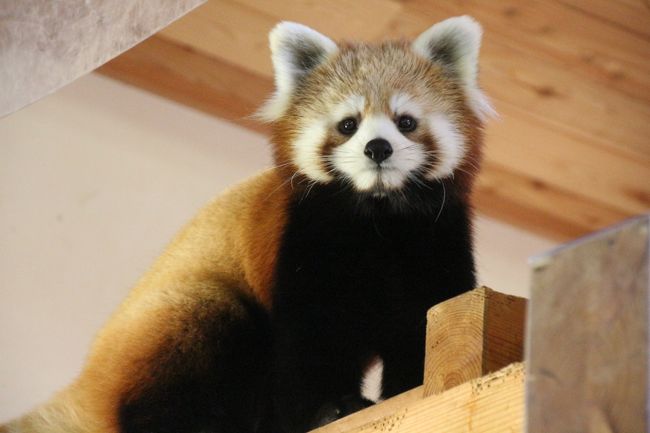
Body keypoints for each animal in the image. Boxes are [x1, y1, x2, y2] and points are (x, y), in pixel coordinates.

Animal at [1, 15, 492, 432]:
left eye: (405, 122)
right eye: (348, 125)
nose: (377, 148)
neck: (378, 218)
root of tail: (88, 380)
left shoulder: (434, 235)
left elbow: (425, 318)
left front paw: (412, 388)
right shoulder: (303, 239)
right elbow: (311, 336)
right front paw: (332, 407)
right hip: (175, 319)